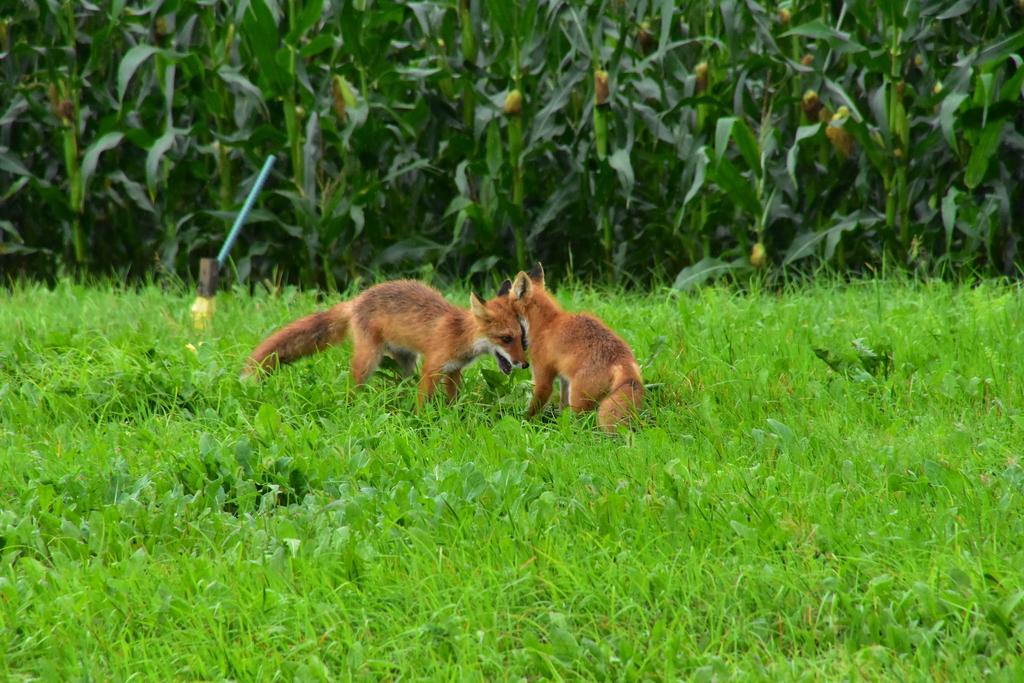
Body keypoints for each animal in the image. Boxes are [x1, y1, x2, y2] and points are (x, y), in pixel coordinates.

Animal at [241, 278, 528, 405]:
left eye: (522, 336)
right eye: (505, 338)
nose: (524, 365)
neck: (460, 334)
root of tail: (356, 300)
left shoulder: (453, 369)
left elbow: (452, 399)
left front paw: (453, 414)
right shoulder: (432, 367)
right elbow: (422, 403)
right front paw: (422, 423)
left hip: (405, 362)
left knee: (399, 383)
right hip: (369, 360)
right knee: (353, 388)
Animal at [509, 264, 643, 432]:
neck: (546, 323)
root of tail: (622, 361)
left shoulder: (543, 378)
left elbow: (534, 407)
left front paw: (525, 423)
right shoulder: (564, 379)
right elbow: (562, 408)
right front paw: (557, 423)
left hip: (578, 400)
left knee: (581, 428)